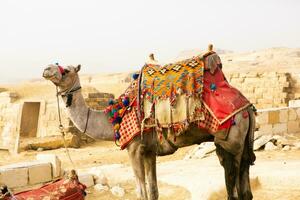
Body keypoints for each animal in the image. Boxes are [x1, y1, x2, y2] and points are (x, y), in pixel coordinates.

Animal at [43, 63, 256, 199]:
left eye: (66, 70)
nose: (46, 69)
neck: (114, 119)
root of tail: (247, 107)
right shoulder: (149, 151)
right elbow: (153, 191)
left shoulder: (134, 149)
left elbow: (141, 193)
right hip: (242, 144)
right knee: (245, 188)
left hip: (230, 141)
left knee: (233, 188)